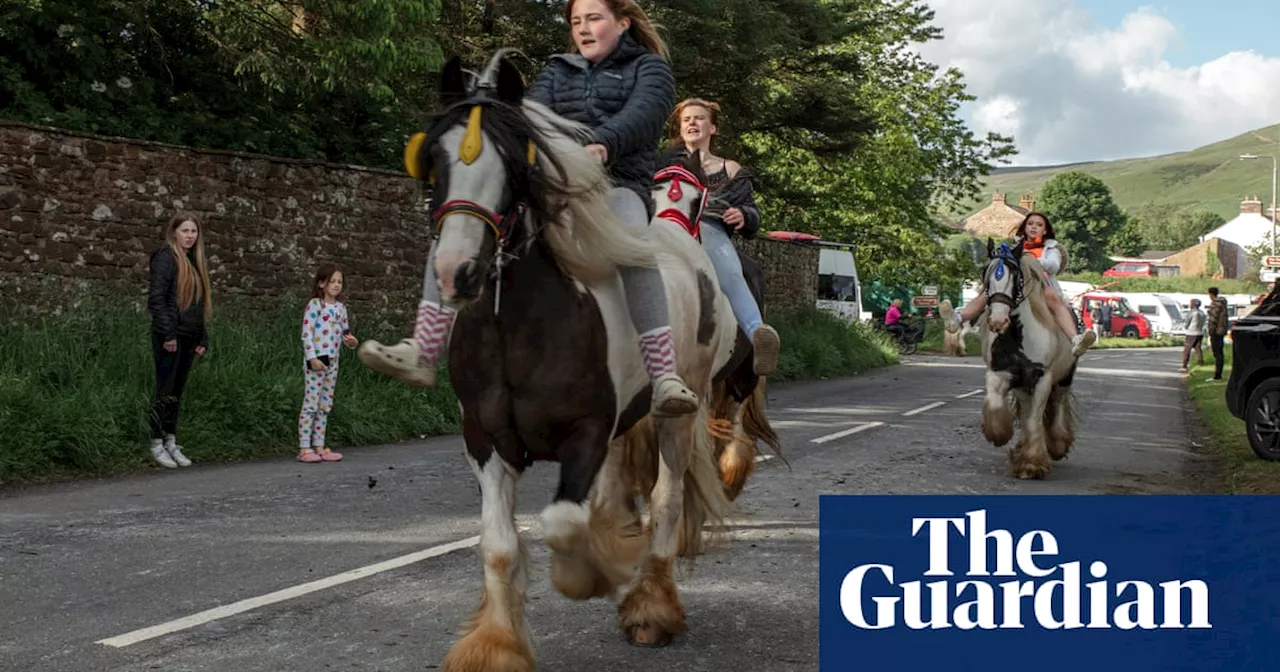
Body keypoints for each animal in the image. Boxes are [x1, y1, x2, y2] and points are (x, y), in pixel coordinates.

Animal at [399, 53, 742, 670]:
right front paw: (495, 645)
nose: (456, 272)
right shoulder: (484, 440)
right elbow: (500, 546)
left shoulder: (585, 432)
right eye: (434, 160)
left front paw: (594, 574)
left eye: (515, 164)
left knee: (667, 499)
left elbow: (562, 522)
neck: (517, 328)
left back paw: (651, 605)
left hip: (683, 410)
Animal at [977, 238, 1080, 478]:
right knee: (1025, 413)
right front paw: (1000, 436)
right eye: (985, 272)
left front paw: (1032, 464)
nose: (998, 320)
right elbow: (997, 407)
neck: (1019, 336)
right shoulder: (1000, 374)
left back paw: (1057, 445)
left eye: (1014, 274)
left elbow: (1035, 419)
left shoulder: (1042, 378)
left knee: (1057, 406)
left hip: (1063, 379)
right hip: (1023, 387)